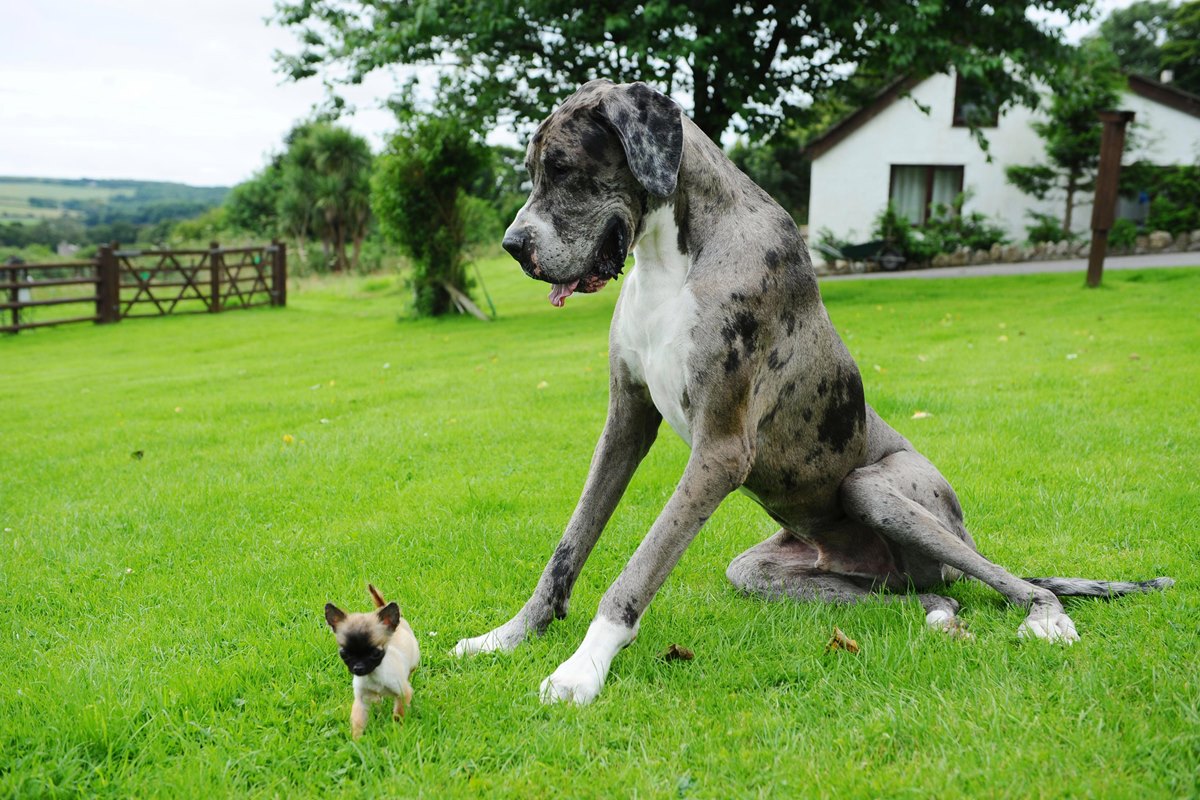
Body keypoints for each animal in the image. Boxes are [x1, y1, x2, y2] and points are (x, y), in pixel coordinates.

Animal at [324, 585, 422, 743]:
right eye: (344, 654)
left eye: (375, 653)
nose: (358, 668)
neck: (373, 675)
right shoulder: (361, 700)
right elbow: (358, 721)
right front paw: (357, 741)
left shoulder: (402, 693)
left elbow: (399, 715)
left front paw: (398, 732)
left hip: (413, 662)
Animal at [451, 79, 1171, 705]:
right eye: (533, 169)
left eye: (565, 168)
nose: (513, 244)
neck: (672, 258)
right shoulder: (625, 424)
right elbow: (569, 545)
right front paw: (507, 636)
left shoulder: (720, 451)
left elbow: (640, 568)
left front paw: (581, 670)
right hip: (763, 572)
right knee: (931, 596)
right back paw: (939, 614)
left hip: (877, 489)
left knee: (1004, 579)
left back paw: (1047, 618)